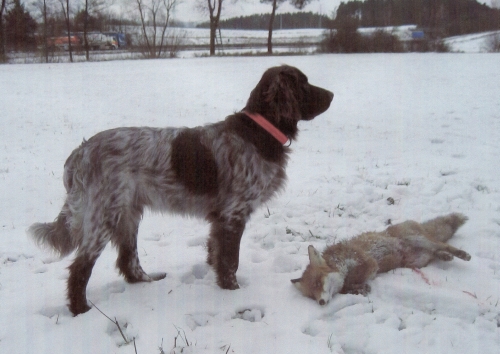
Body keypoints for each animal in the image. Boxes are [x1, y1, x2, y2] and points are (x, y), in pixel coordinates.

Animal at [27, 65, 332, 314]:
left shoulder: (220, 219)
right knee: (80, 268)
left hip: (127, 213)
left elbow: (217, 255)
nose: (331, 94)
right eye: (303, 83)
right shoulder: (233, 214)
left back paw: (147, 281)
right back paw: (81, 310)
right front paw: (232, 293)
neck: (258, 133)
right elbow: (229, 261)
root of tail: (79, 154)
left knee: (128, 260)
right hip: (104, 216)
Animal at [292, 213, 470, 304]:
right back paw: (445, 256)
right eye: (312, 296)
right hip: (417, 260)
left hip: (418, 239)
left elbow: (350, 280)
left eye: (318, 283)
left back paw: (461, 254)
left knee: (442, 244)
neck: (338, 261)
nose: (321, 303)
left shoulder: (368, 262)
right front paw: (357, 289)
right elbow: (345, 287)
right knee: (436, 251)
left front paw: (357, 286)